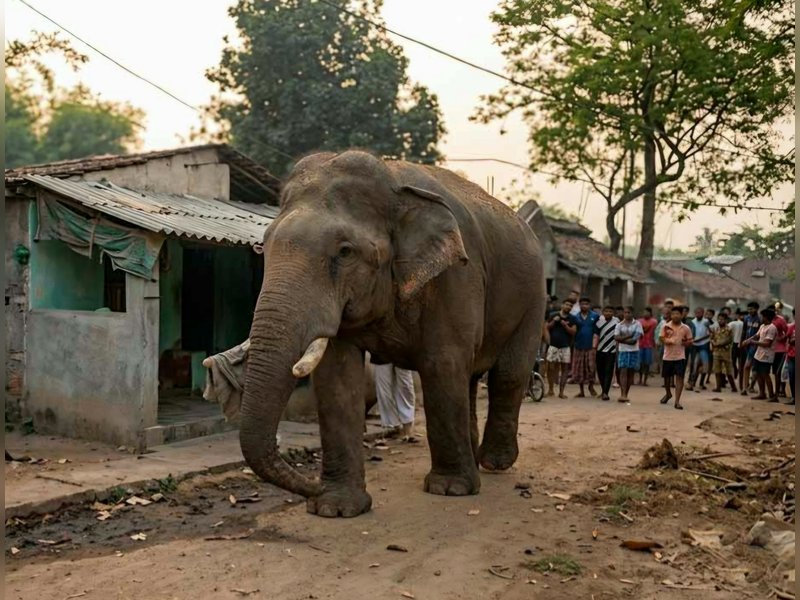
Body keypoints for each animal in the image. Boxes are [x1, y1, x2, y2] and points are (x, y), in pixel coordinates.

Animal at [240, 150, 545, 518]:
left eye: (345, 252)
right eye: (264, 246)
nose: (312, 487)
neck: (393, 182)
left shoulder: (458, 275)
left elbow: (442, 363)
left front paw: (450, 490)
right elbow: (336, 376)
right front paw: (336, 508)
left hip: (533, 297)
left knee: (508, 374)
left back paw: (494, 464)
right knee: (471, 377)